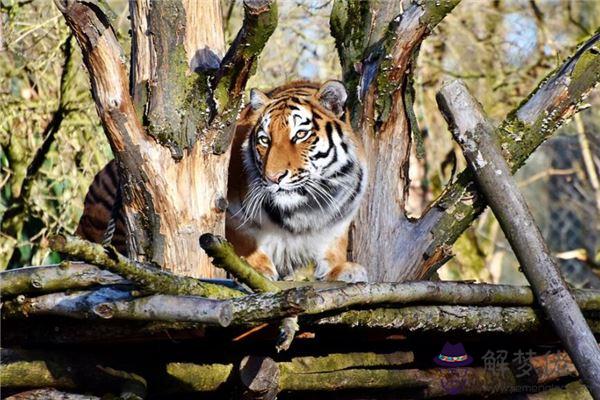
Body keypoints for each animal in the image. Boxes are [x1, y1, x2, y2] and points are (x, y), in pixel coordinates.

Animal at [77, 79, 368, 282]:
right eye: (265, 140)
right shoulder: (229, 211)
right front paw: (256, 268)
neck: (304, 208)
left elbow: (333, 245)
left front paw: (343, 269)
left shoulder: (338, 218)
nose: (273, 178)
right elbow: (242, 240)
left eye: (300, 135)